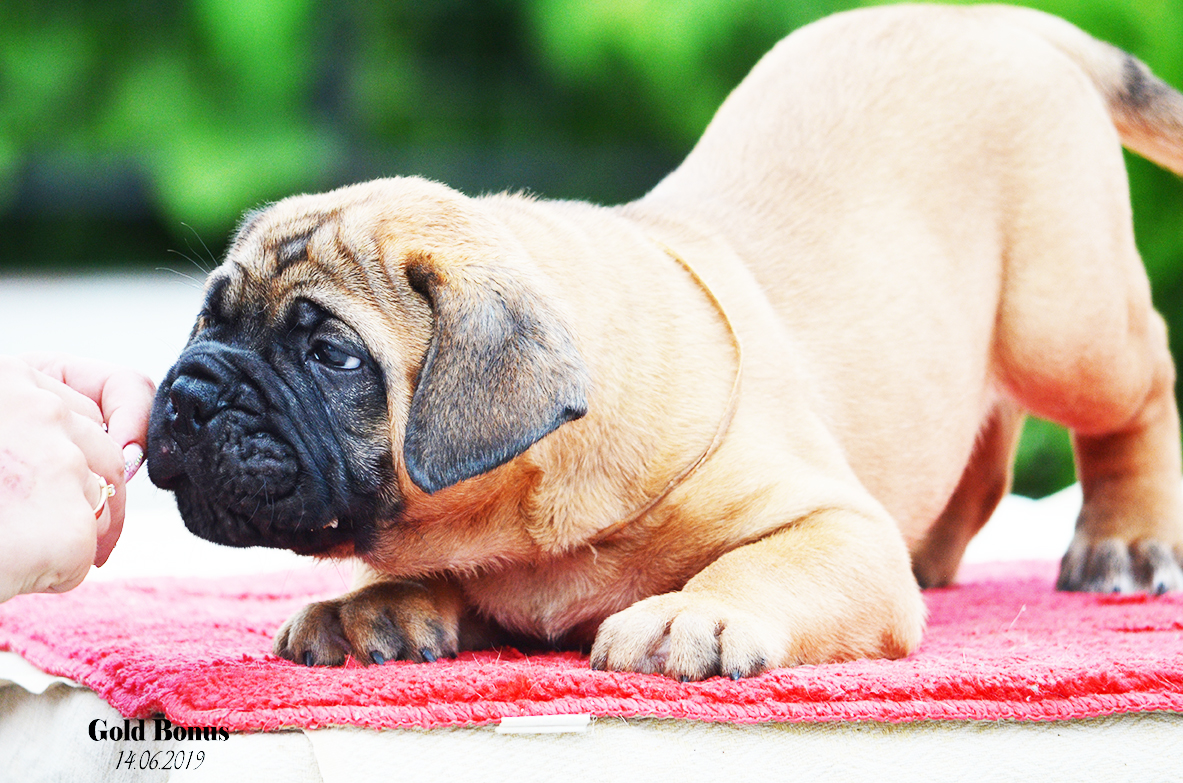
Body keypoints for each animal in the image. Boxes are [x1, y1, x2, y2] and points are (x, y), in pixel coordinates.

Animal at [147, 4, 1183, 681]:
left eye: (333, 356)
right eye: (208, 318)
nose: (187, 394)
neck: (531, 513)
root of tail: (991, 19)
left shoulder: (835, 527)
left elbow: (763, 561)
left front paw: (694, 611)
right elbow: (426, 571)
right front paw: (370, 606)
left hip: (1066, 325)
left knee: (1139, 385)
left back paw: (1126, 540)